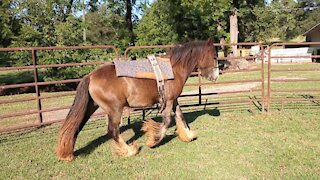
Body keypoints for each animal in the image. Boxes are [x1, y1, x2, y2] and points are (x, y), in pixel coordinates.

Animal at [56, 37, 219, 160]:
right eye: (214, 56)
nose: (216, 76)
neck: (173, 68)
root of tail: (90, 76)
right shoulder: (168, 101)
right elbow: (167, 121)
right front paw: (153, 140)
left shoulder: (174, 100)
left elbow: (180, 116)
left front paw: (188, 135)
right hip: (115, 109)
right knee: (113, 131)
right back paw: (129, 150)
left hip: (92, 106)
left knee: (76, 126)